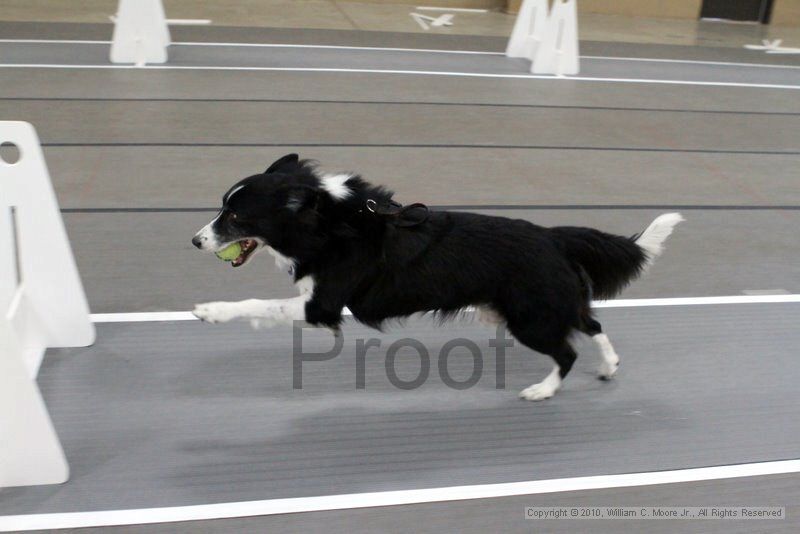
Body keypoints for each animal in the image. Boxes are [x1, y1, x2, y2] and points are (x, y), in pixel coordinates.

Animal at [192, 155, 680, 402]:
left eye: (234, 216)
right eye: (222, 208)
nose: (195, 241)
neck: (327, 220)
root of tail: (554, 236)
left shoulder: (323, 305)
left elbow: (257, 304)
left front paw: (210, 311)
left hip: (529, 318)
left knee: (567, 351)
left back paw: (542, 390)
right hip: (537, 306)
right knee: (591, 323)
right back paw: (609, 366)